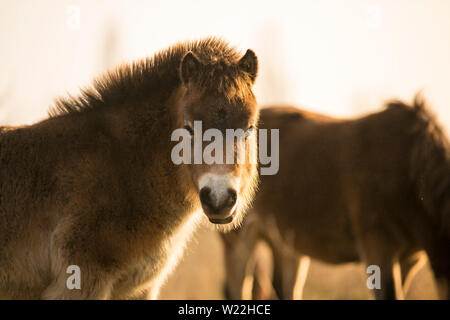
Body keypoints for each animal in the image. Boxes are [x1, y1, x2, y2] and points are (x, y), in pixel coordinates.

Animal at [0, 38, 260, 300]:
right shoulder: (81, 280)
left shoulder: (140, 289)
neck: (125, 171)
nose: (219, 199)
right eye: (188, 127)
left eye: (249, 128)